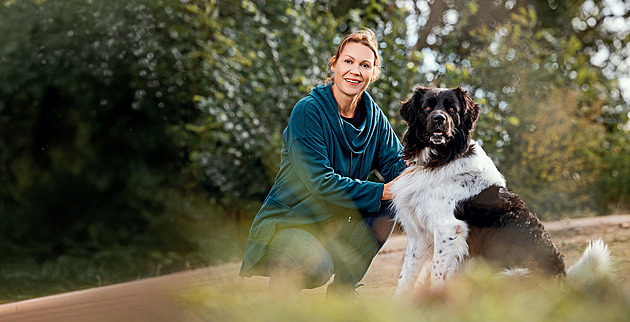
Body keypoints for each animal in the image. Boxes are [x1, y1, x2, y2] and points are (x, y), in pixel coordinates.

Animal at [392, 85, 616, 294]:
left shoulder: (448, 229)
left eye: (452, 109)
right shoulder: (420, 234)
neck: (441, 159)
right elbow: (405, 278)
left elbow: (436, 277)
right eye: (427, 107)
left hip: (510, 274)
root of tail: (563, 281)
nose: (439, 119)